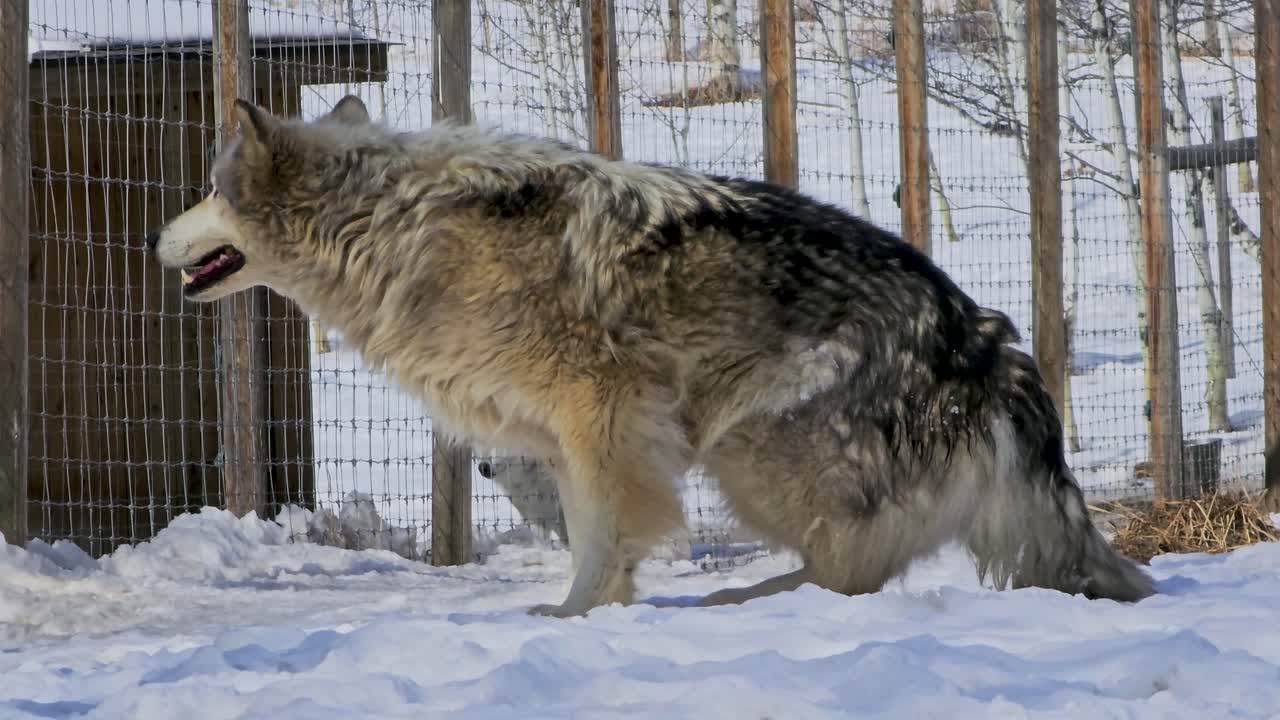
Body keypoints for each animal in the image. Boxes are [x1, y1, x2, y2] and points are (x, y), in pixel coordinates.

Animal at [147, 95, 1155, 616]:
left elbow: (601, 535)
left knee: (852, 573)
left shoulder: (604, 414)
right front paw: (603, 610)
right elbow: (598, 532)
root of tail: (987, 338)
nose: (155, 240)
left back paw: (742, 602)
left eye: (211, 192)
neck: (392, 228)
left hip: (752, 455)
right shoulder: (567, 439)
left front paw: (569, 618)